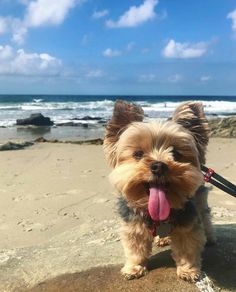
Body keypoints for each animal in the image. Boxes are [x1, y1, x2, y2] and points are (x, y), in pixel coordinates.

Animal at [103, 100, 216, 282]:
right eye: (138, 154)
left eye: (176, 153)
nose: (158, 165)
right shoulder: (133, 224)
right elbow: (135, 248)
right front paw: (134, 268)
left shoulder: (187, 222)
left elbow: (187, 246)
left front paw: (188, 270)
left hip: (199, 198)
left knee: (205, 216)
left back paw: (210, 237)